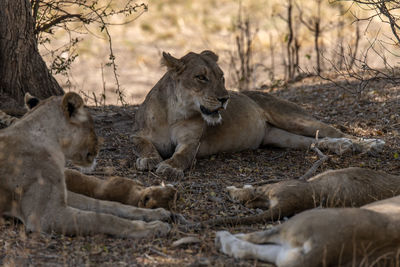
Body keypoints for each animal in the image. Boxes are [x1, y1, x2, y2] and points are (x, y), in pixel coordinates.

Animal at [0, 92, 173, 239]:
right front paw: (152, 227)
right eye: (91, 125)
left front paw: (155, 213)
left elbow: (108, 205)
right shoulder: (45, 216)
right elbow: (102, 219)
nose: (100, 147)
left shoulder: (62, 196)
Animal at [132, 50, 384, 180]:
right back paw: (342, 146)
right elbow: (144, 145)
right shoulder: (140, 135)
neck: (174, 112)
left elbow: (182, 156)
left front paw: (170, 167)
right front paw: (149, 159)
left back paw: (369, 144)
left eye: (221, 76)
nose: (225, 98)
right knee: (315, 142)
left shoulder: (192, 142)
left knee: (333, 130)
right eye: (201, 77)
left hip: (293, 117)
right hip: (281, 137)